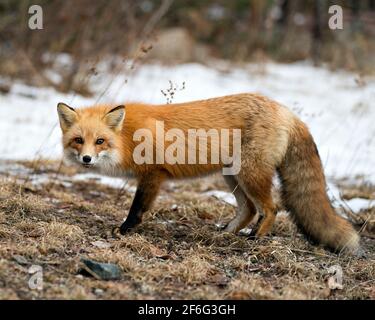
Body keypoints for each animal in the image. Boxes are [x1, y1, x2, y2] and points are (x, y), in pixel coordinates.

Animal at [57, 93, 362, 255]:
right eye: (78, 141)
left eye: (100, 141)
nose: (86, 159)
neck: (128, 137)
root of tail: (286, 111)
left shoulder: (153, 174)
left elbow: (137, 208)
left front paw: (124, 230)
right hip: (233, 176)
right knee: (249, 209)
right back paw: (225, 233)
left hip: (249, 174)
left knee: (271, 208)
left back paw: (254, 238)